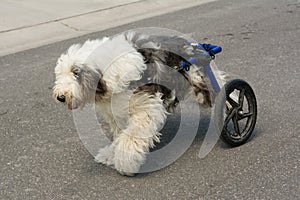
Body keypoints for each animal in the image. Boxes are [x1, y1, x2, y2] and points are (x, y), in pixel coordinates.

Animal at [52, 30, 224, 176]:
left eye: (76, 73)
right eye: (61, 73)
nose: (61, 97)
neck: (107, 74)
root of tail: (195, 46)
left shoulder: (146, 107)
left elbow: (132, 135)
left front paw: (125, 162)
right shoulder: (116, 113)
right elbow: (119, 135)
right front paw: (110, 155)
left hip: (200, 84)